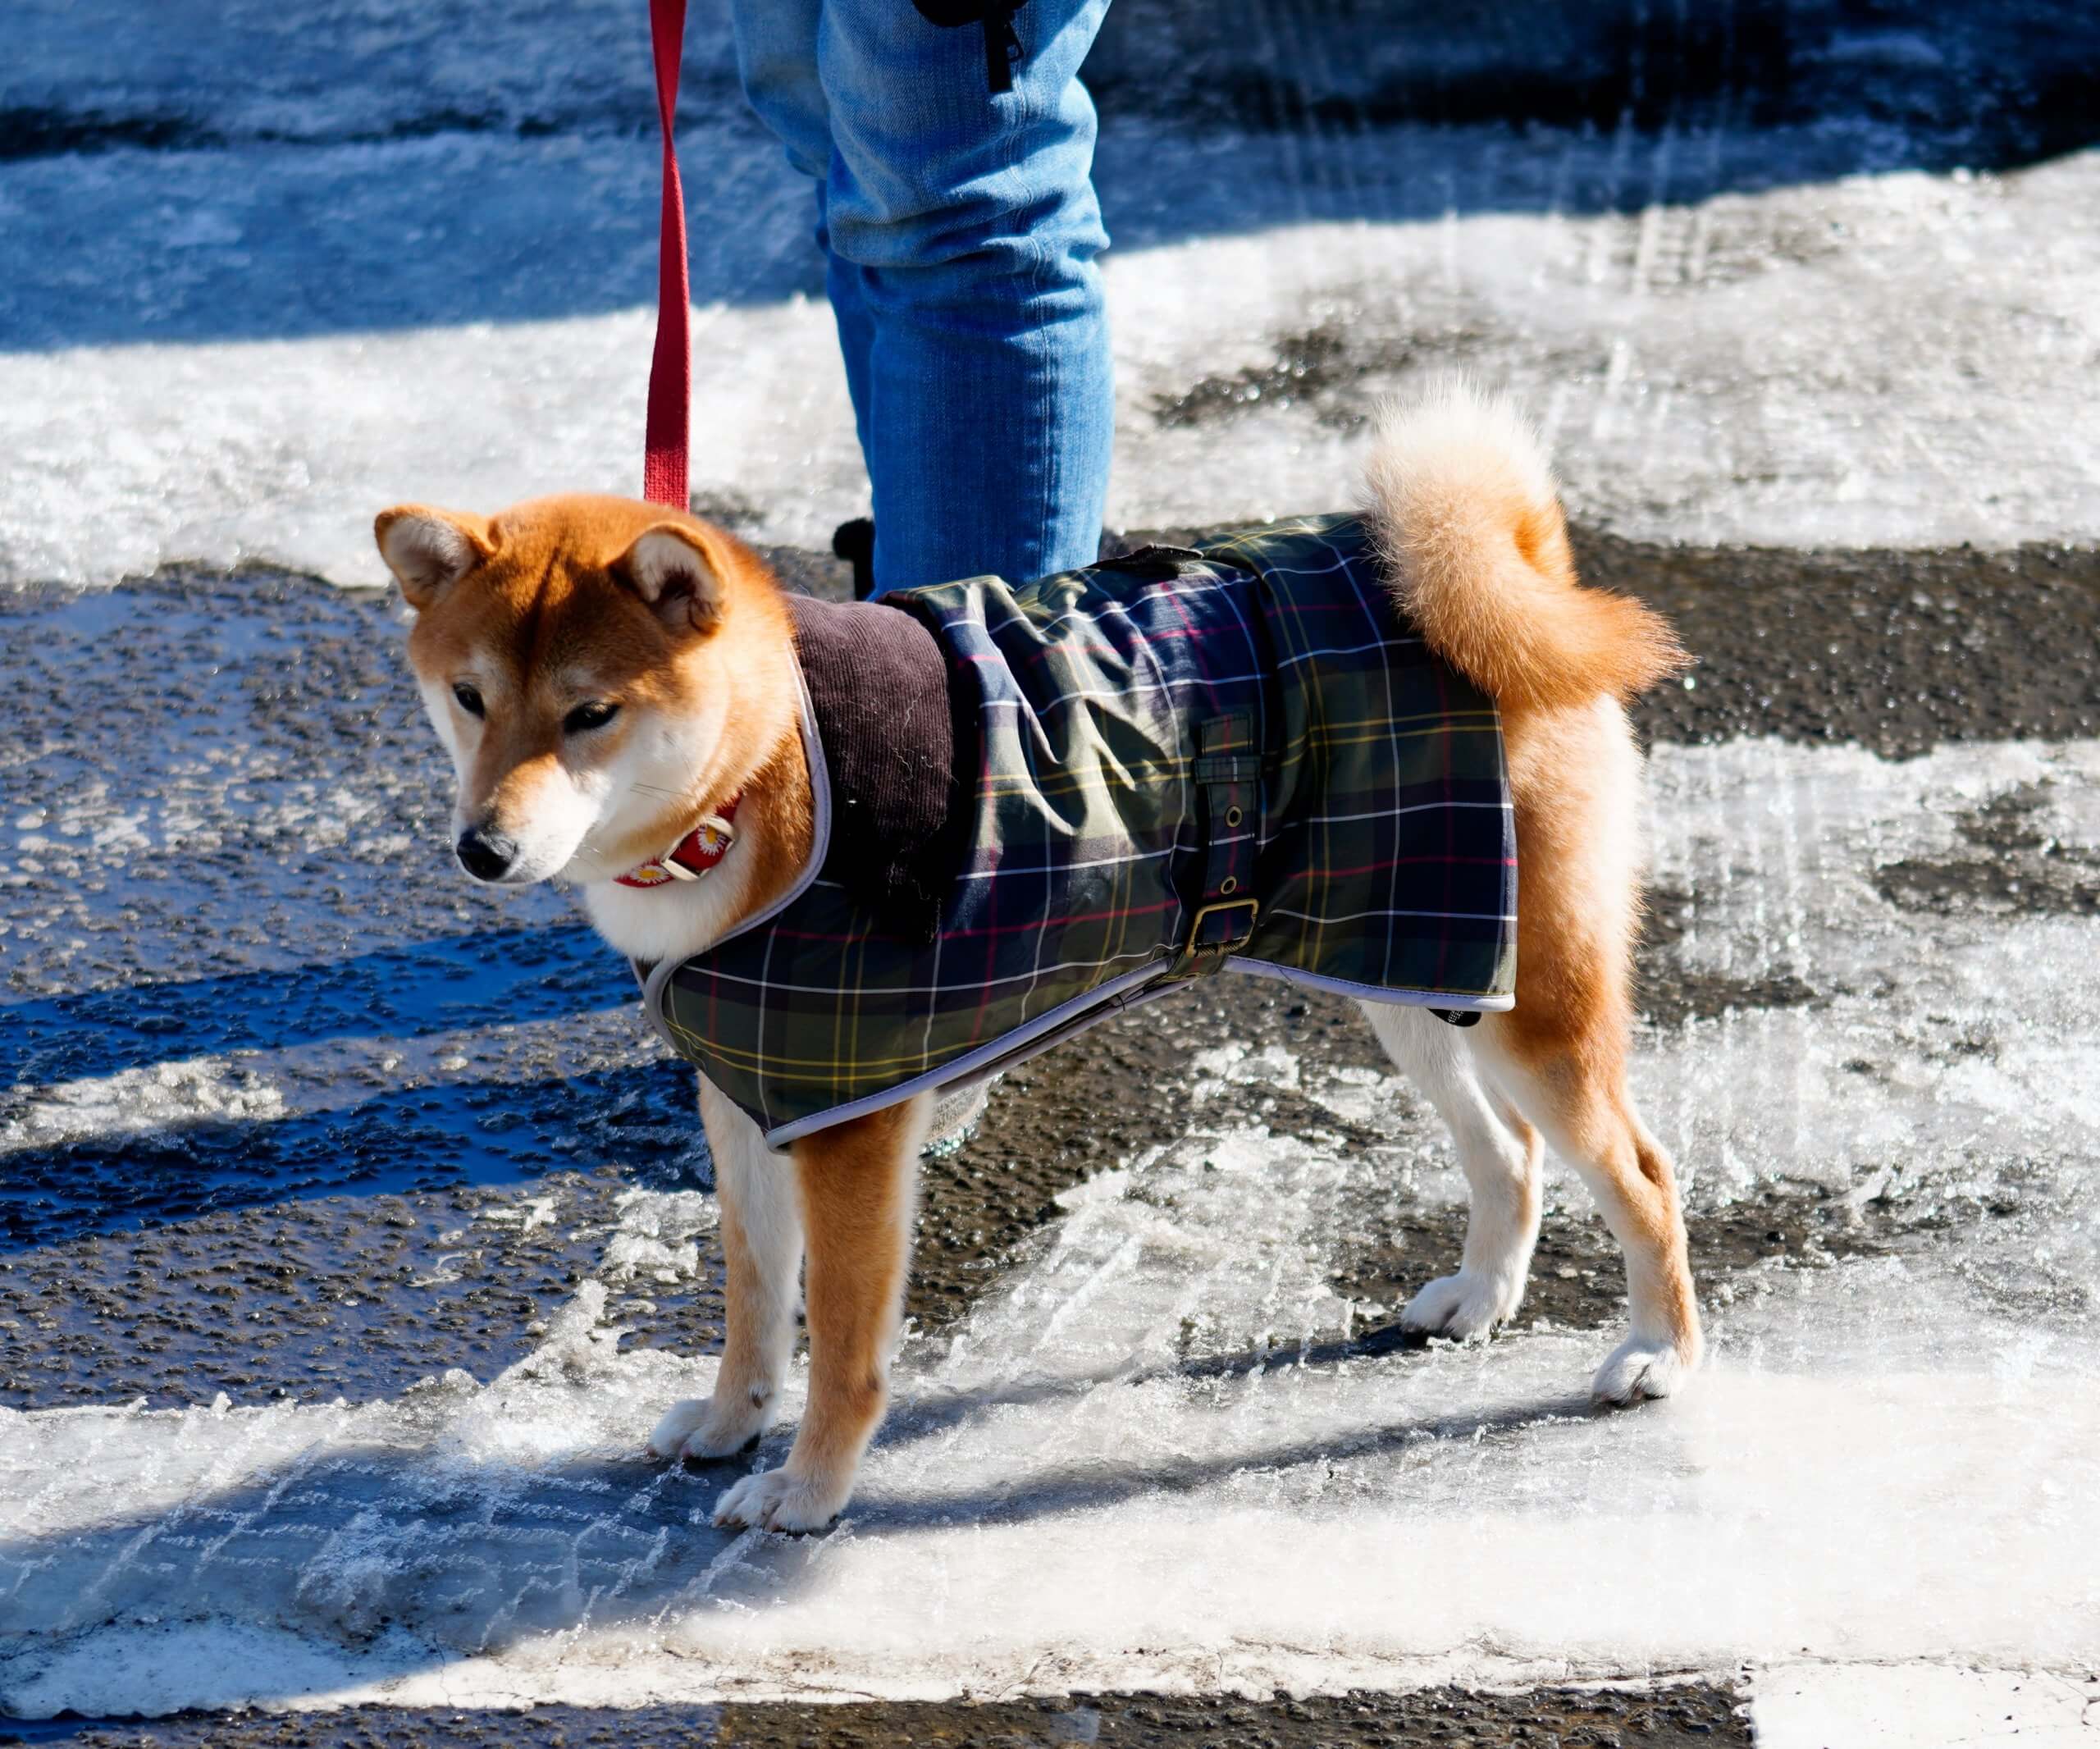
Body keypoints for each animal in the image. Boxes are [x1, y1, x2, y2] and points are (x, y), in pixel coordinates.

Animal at [381, 381, 1705, 1528]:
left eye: (591, 713)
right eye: (468, 696)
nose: (481, 849)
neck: (761, 778)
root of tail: (1519, 567)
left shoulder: (850, 1129)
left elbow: (841, 1345)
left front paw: (806, 1489)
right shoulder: (746, 1093)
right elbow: (754, 1305)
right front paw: (727, 1423)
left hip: (1524, 1004)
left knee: (1639, 1170)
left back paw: (1657, 1354)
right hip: (1414, 973)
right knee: (1510, 1152)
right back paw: (1482, 1295)